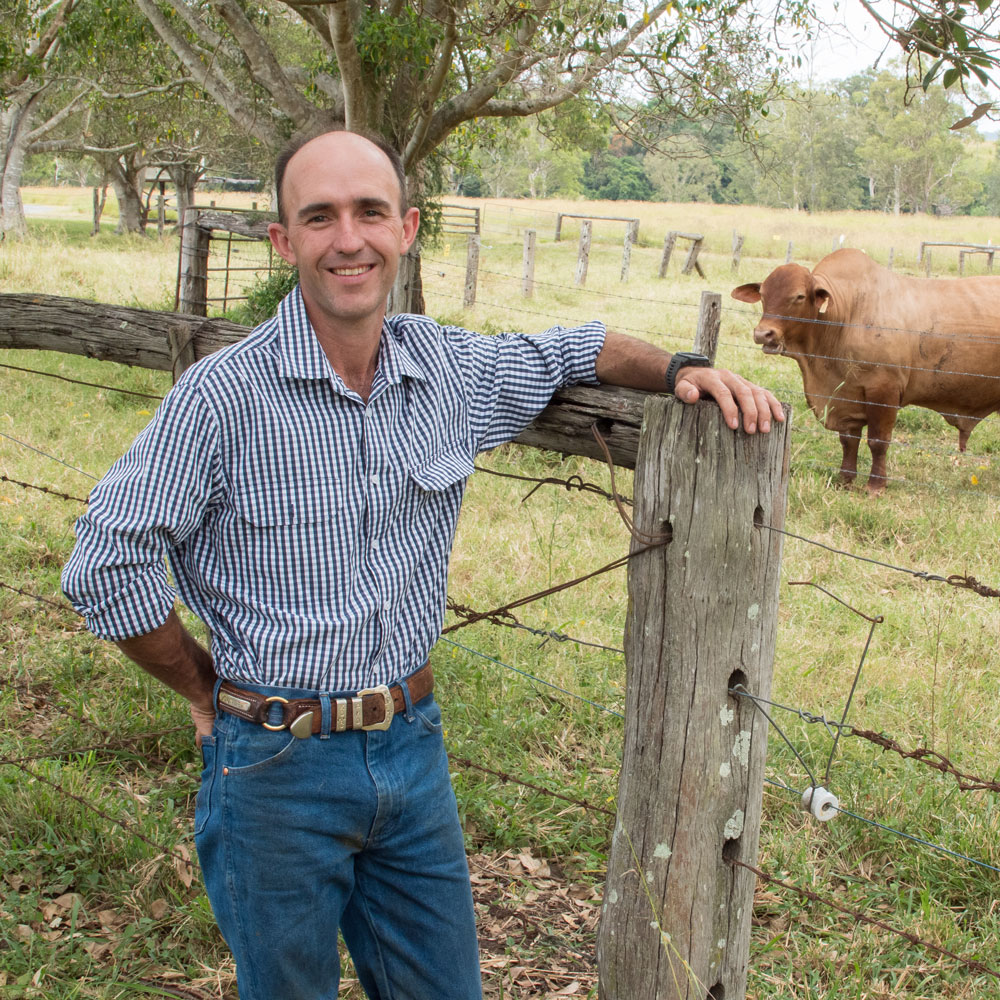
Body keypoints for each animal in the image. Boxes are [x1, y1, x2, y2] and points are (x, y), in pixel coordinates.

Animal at [732, 250, 1000, 492]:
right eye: (763, 294)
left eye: (798, 296)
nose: (763, 334)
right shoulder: (846, 394)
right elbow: (849, 441)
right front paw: (845, 480)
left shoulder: (884, 392)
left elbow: (878, 442)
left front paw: (876, 486)